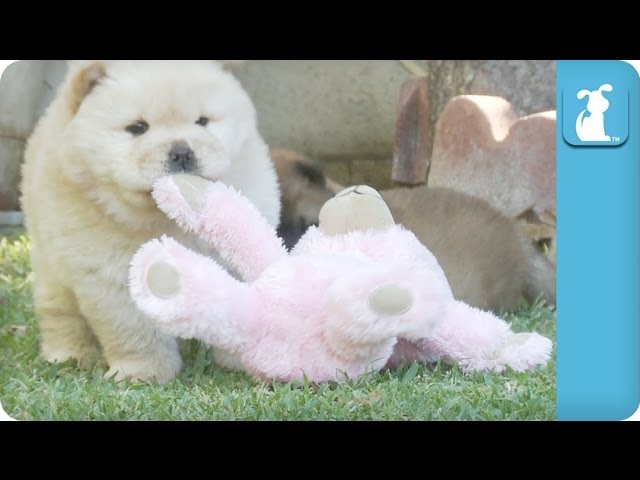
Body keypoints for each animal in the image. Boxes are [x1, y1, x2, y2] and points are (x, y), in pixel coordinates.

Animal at [20, 61, 280, 382]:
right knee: (60, 313)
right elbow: (135, 331)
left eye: (202, 121)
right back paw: (70, 356)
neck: (169, 216)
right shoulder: (113, 273)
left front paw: (244, 362)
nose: (182, 151)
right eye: (138, 128)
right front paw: (143, 373)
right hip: (51, 263)